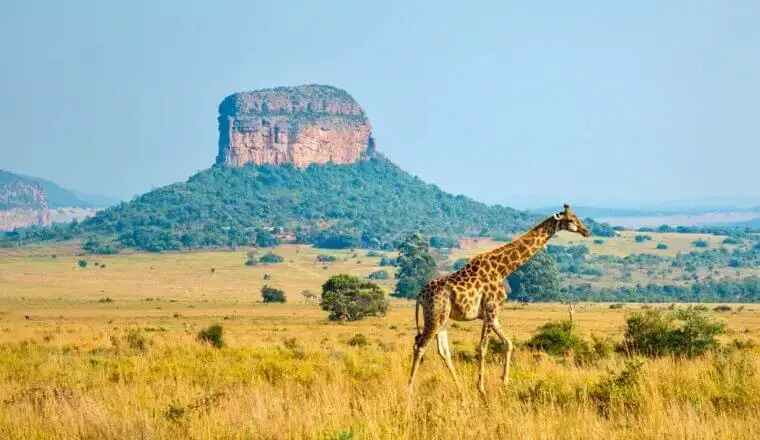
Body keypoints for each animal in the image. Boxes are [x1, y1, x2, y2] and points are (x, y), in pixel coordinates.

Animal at [406, 205, 592, 396]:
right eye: (570, 220)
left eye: (576, 217)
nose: (586, 231)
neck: (503, 269)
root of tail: (420, 295)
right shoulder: (490, 309)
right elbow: (483, 348)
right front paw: (481, 388)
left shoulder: (493, 313)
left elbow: (508, 343)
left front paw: (505, 382)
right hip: (435, 316)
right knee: (420, 346)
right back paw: (410, 389)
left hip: (442, 319)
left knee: (443, 351)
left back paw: (460, 389)